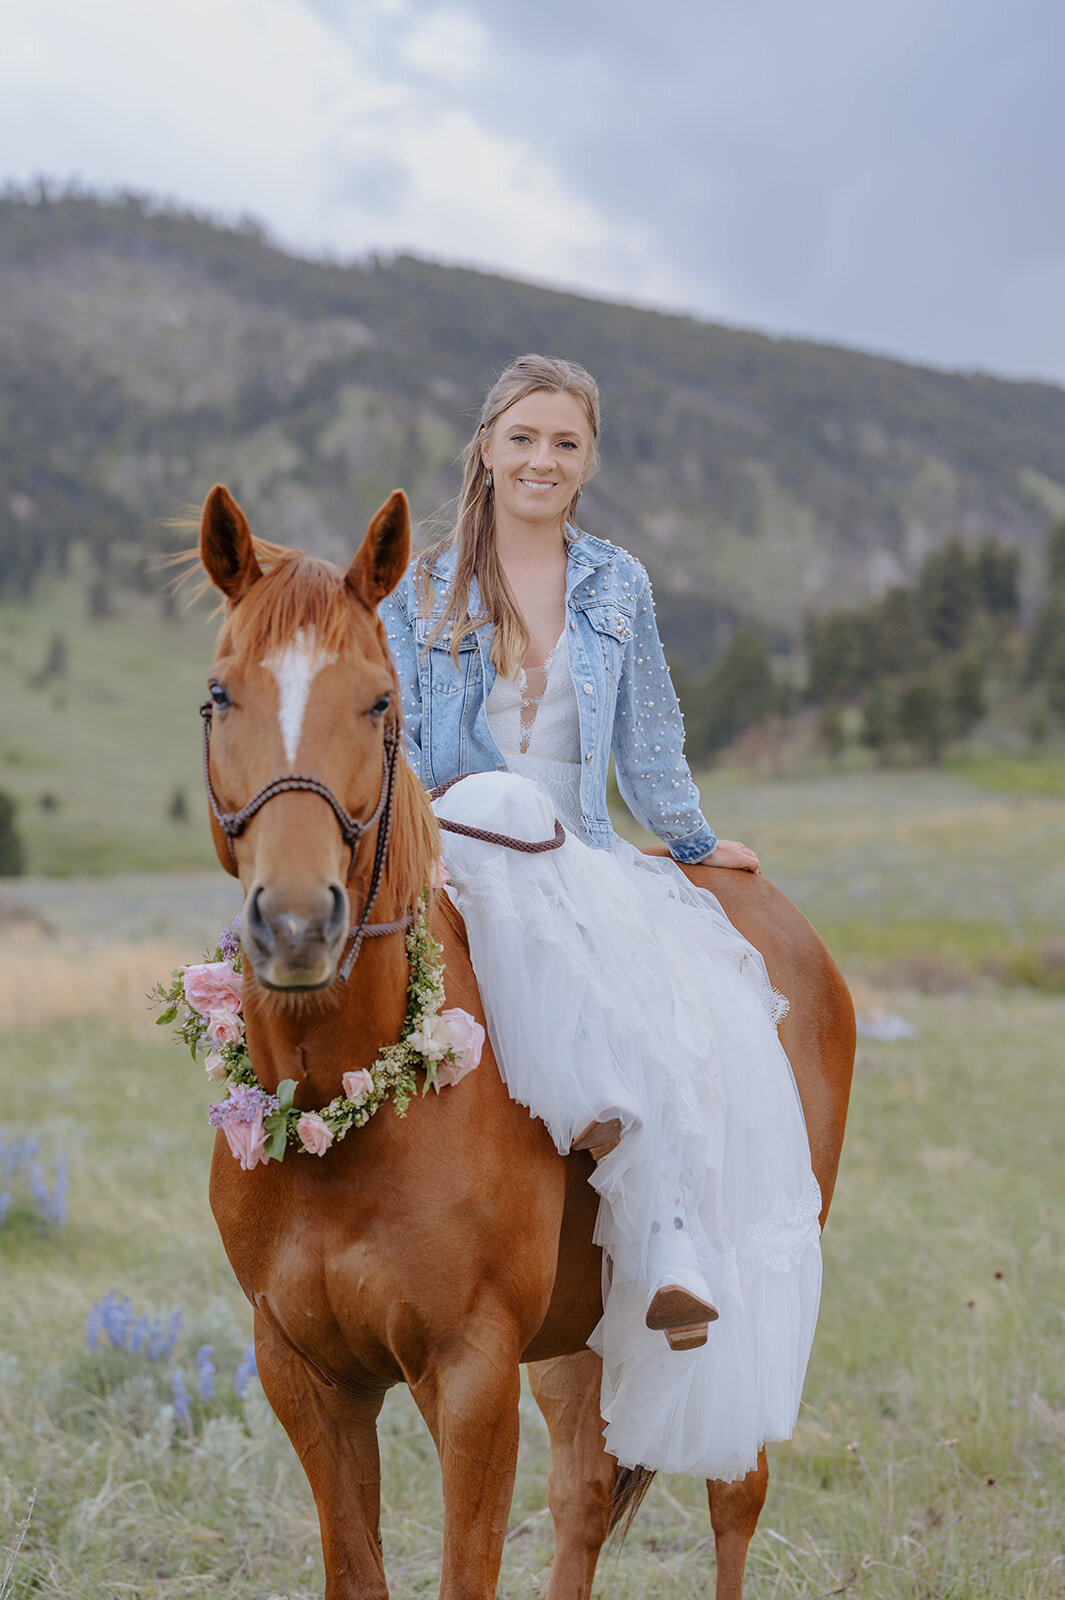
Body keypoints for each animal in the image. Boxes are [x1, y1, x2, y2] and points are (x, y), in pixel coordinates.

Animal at [196, 483, 844, 1600]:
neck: (343, 1109)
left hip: (737, 1324)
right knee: (583, 1498)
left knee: (734, 1496)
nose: (296, 924)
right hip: (586, 1334)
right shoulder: (308, 1378)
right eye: (220, 696)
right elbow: (356, 1568)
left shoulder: (470, 1376)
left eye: (378, 702)